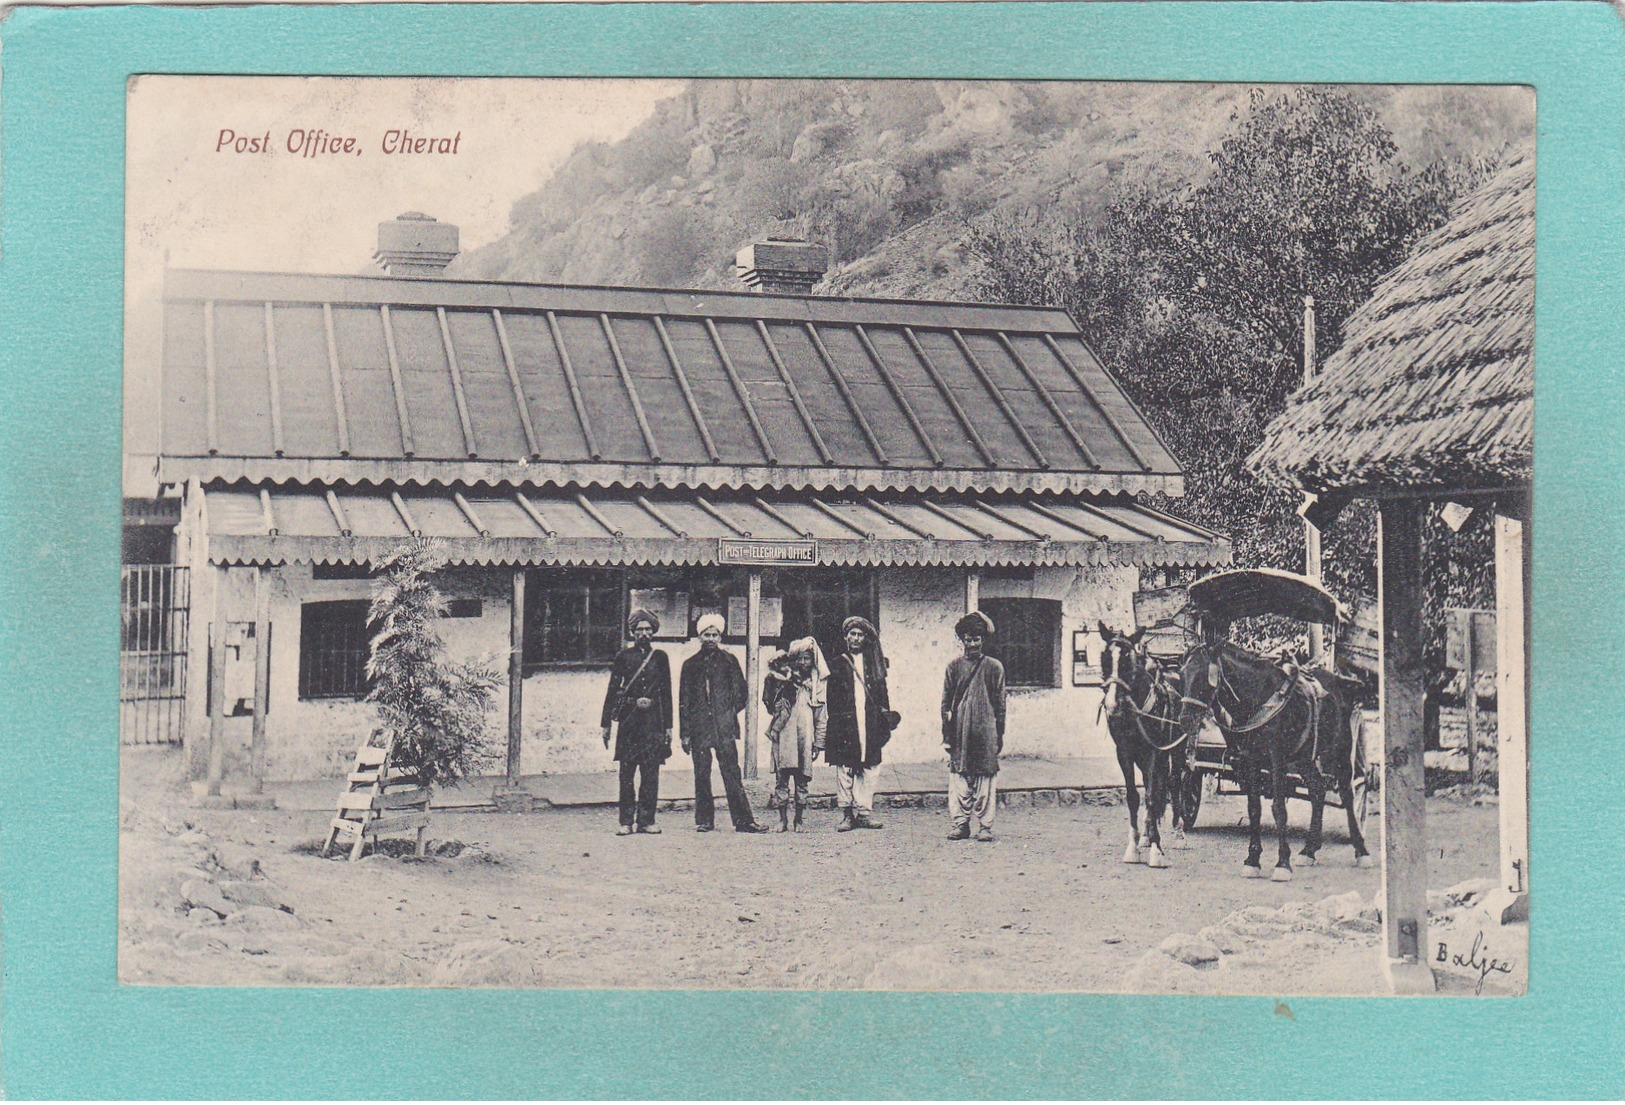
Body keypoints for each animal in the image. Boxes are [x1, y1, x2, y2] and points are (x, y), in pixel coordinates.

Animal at [1098, 627, 1189, 864]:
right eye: (1104, 658)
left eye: (1128, 660)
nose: (1112, 704)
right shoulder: (1125, 753)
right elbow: (1134, 796)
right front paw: (1134, 846)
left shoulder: (1153, 752)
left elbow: (1151, 795)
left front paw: (1157, 850)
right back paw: (1147, 834)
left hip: (1176, 749)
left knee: (1174, 782)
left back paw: (1179, 832)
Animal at [1176, 640, 1378, 877]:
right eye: (1183, 673)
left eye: (1205, 676)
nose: (1186, 720)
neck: (1259, 698)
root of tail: (1341, 684)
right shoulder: (1249, 762)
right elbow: (1254, 809)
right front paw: (1252, 860)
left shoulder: (1277, 761)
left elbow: (1279, 809)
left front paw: (1282, 863)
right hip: (1304, 759)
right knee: (1317, 790)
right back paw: (1309, 850)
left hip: (1342, 754)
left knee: (1348, 793)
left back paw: (1361, 851)